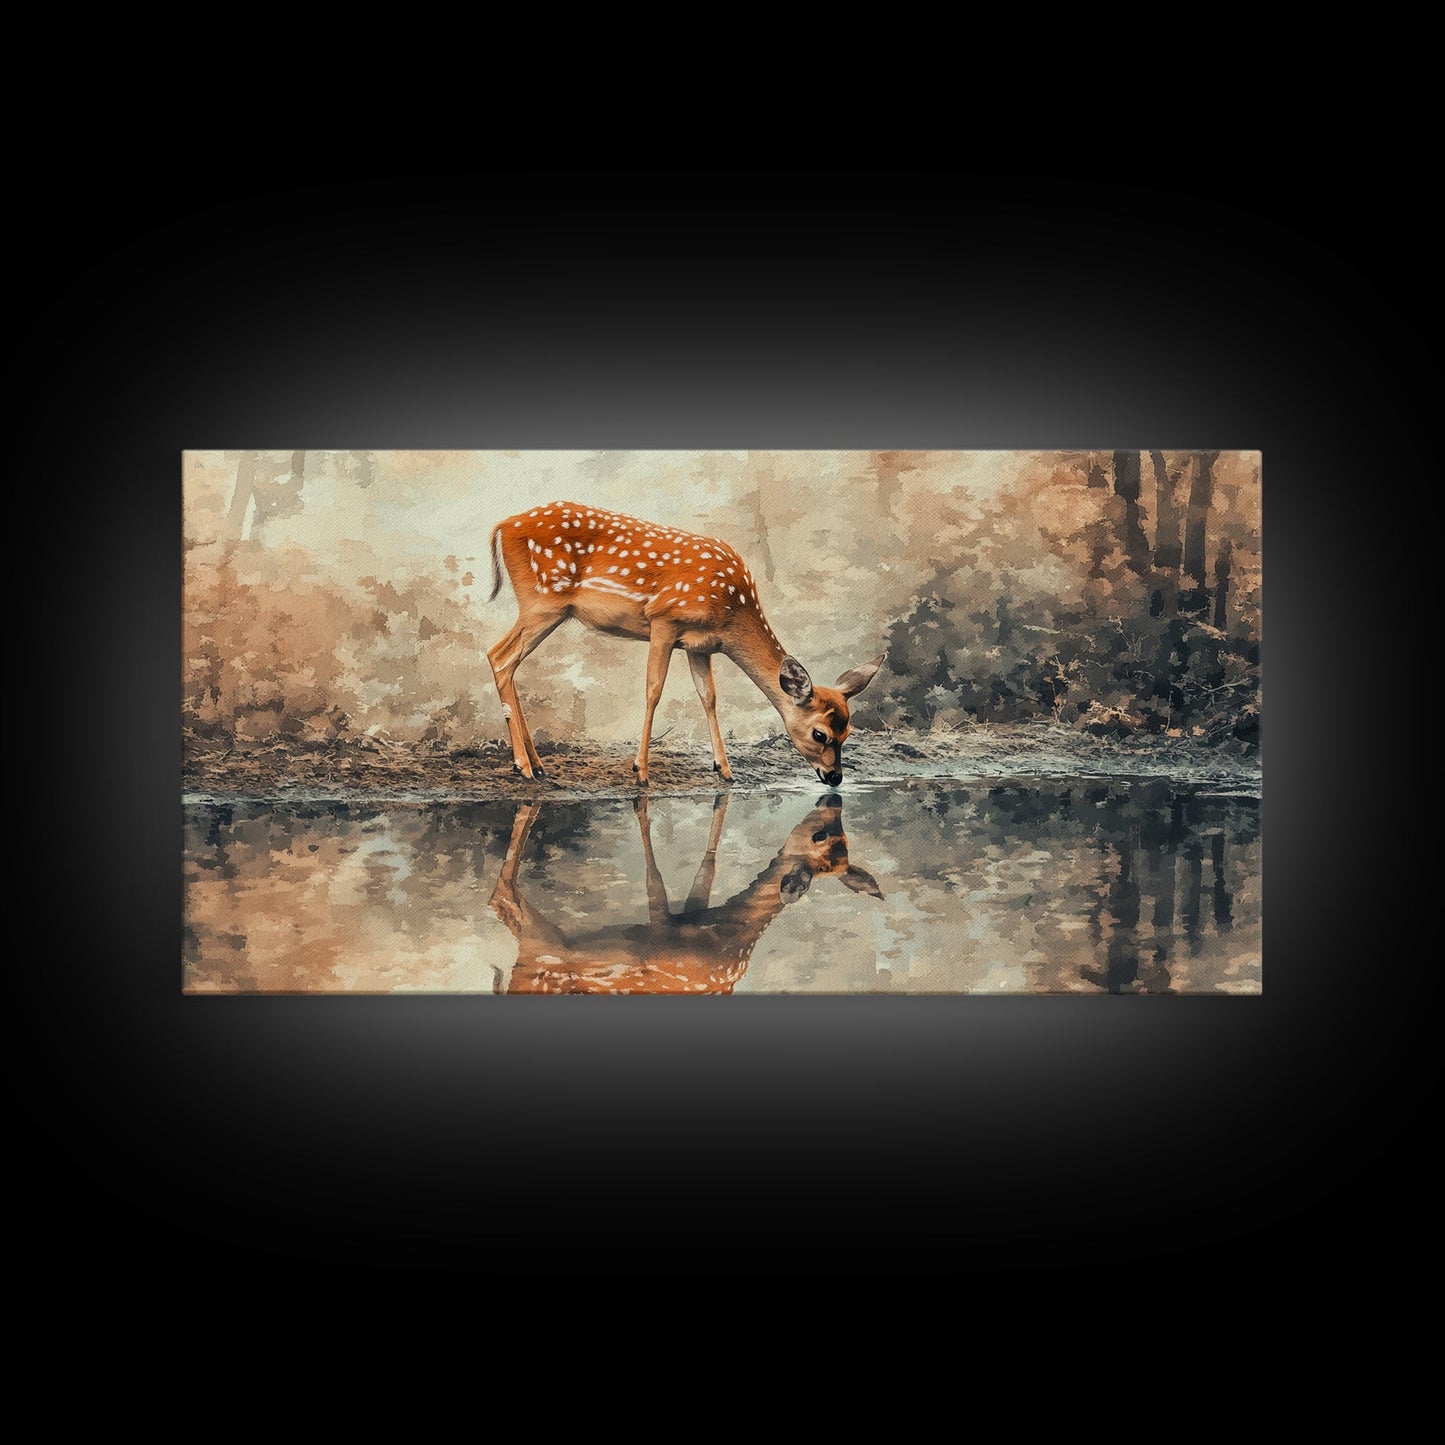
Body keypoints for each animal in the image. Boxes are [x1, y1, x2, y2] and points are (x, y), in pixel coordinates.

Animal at [485, 501, 883, 785]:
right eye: (820, 733)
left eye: (848, 732)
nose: (835, 777)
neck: (732, 610)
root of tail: (503, 523)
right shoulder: (664, 619)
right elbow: (653, 689)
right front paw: (641, 771)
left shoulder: (700, 646)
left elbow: (708, 697)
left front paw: (725, 769)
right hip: (543, 601)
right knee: (500, 656)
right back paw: (523, 766)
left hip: (548, 608)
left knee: (505, 658)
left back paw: (537, 764)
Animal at [487, 792, 883, 994]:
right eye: (821, 836)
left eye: (843, 834)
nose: (831, 797)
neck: (728, 932)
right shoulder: (665, 931)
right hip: (543, 953)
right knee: (503, 898)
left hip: (542, 949)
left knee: (503, 900)